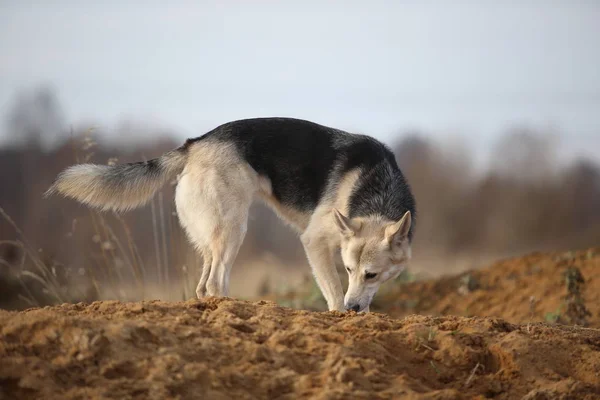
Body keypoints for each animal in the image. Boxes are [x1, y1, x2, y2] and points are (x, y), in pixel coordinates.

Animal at [47, 118, 414, 312]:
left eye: (371, 274)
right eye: (349, 269)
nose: (354, 308)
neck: (375, 187)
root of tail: (196, 143)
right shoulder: (314, 242)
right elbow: (335, 293)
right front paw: (341, 314)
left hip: (214, 236)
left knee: (203, 286)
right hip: (235, 228)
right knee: (214, 282)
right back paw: (235, 307)